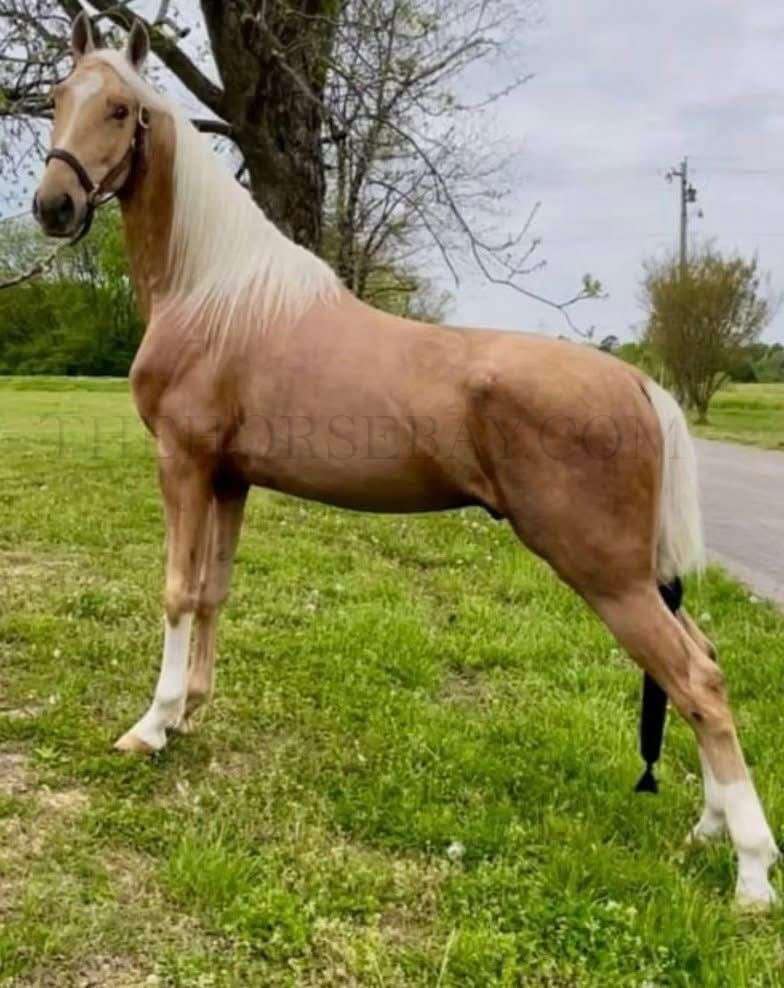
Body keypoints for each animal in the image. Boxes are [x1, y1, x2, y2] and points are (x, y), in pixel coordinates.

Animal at [32, 13, 778, 908]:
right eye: (55, 97)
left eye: (120, 110)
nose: (52, 204)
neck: (214, 294)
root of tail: (639, 382)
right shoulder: (229, 478)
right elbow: (212, 592)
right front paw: (188, 713)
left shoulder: (182, 463)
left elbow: (177, 593)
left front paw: (152, 724)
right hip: (634, 576)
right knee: (701, 660)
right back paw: (709, 828)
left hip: (608, 575)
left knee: (696, 680)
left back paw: (752, 874)